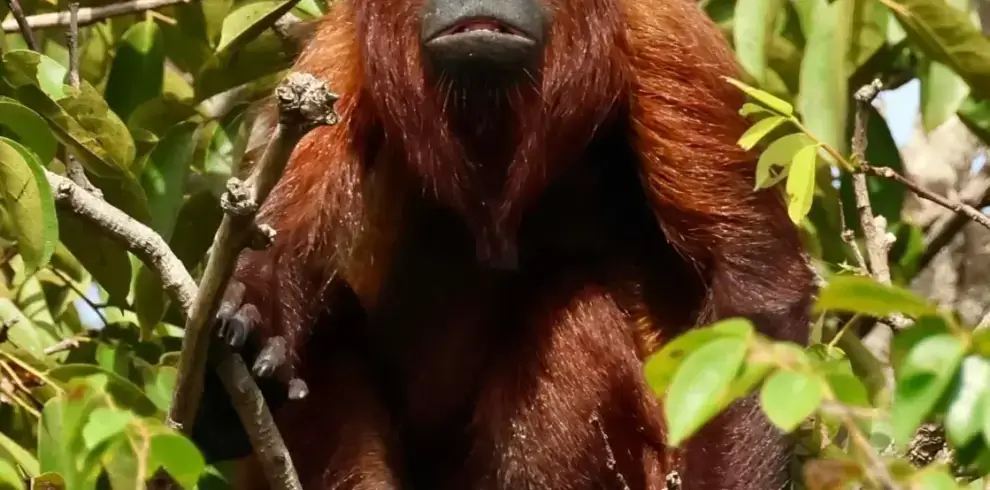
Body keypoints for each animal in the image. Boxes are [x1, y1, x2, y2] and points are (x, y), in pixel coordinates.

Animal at [190, 0, 816, 488]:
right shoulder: (342, 50)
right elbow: (281, 231)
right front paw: (248, 326)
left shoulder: (660, 32)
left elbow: (751, 283)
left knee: (571, 311)